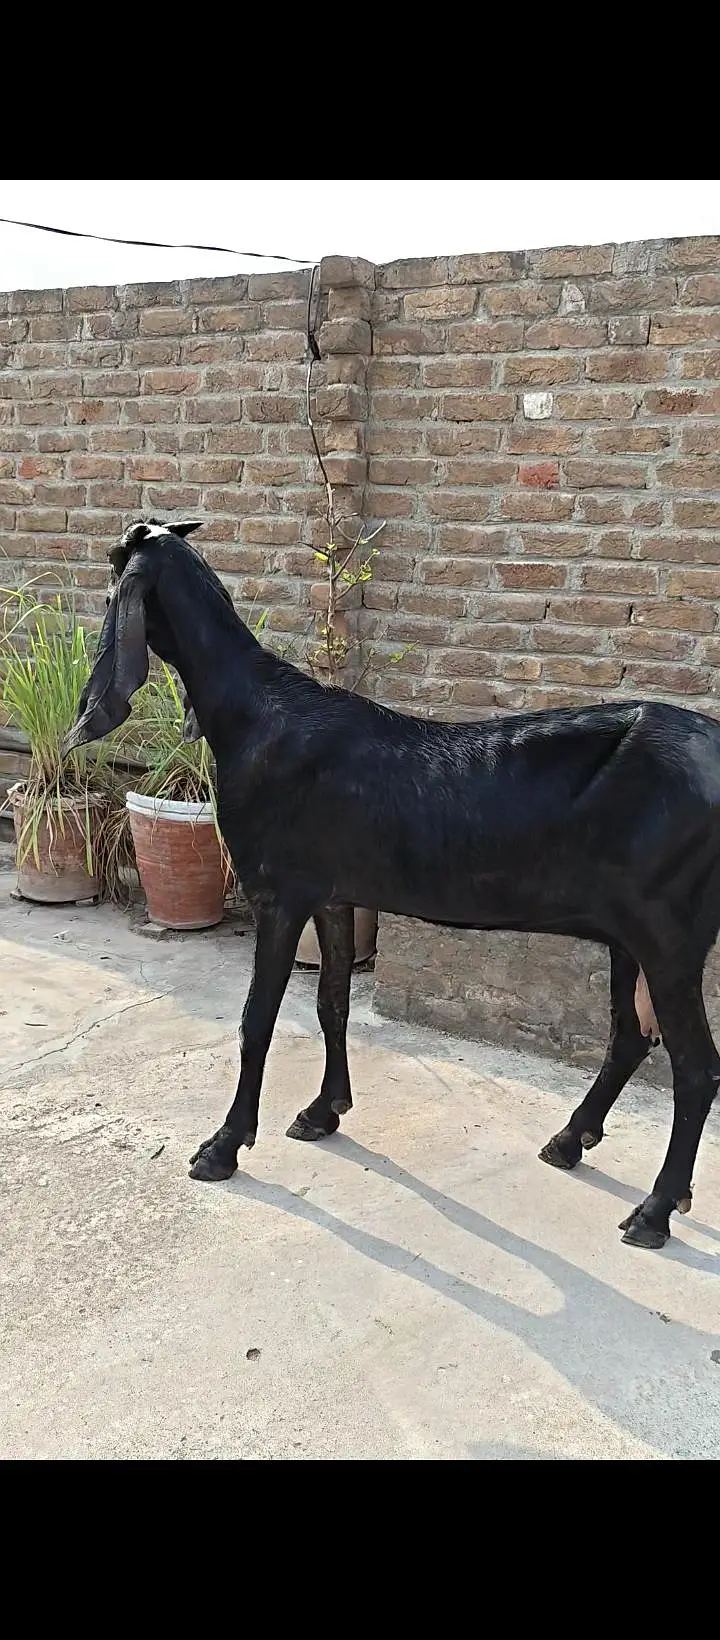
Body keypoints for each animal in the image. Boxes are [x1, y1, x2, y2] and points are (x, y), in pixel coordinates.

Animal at [67, 518, 720, 1251]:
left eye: (113, 575)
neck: (255, 715)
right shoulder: (332, 894)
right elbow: (332, 1003)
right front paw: (325, 1110)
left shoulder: (278, 894)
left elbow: (257, 1020)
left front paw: (224, 1145)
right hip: (629, 932)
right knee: (632, 1036)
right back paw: (570, 1140)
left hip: (669, 932)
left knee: (696, 1067)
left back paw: (655, 1209)